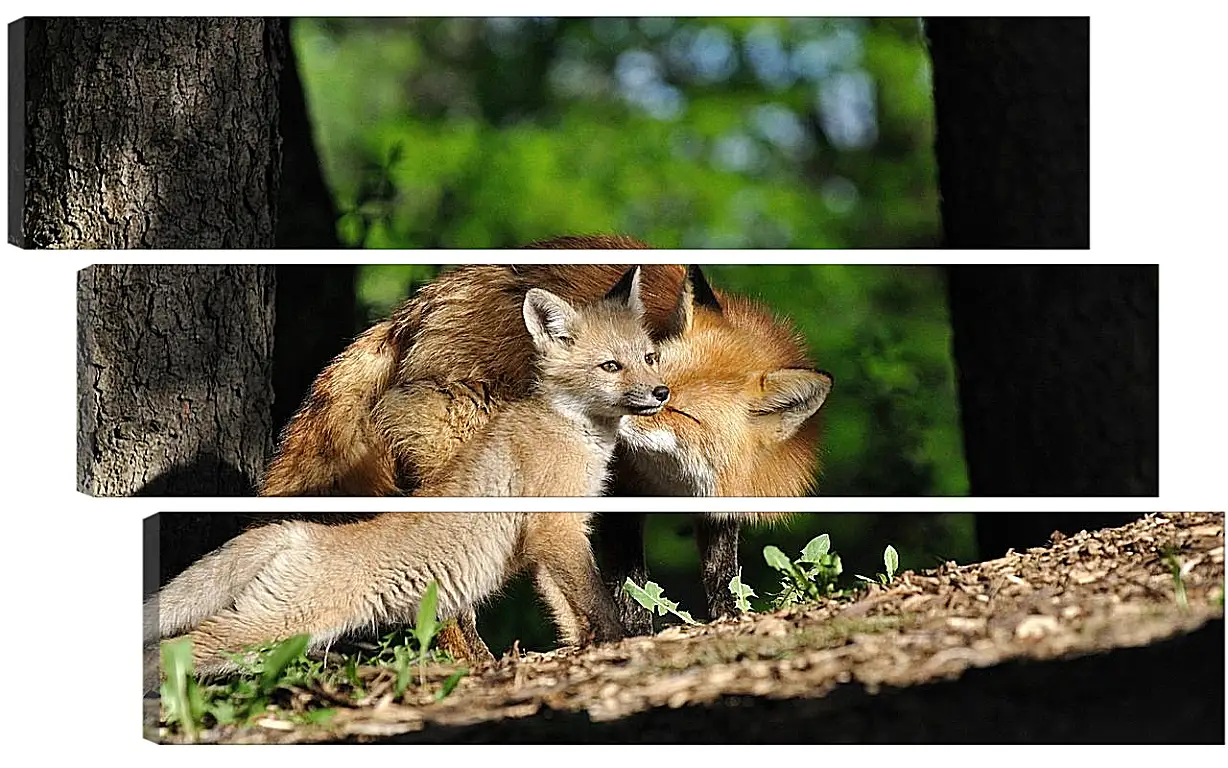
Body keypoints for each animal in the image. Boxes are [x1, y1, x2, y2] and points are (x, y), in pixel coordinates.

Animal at [261, 238, 835, 634]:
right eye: (655, 372)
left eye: (682, 411)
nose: (628, 412)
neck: (673, 483)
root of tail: (425, 300)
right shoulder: (618, 493)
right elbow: (629, 587)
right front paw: (635, 636)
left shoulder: (718, 503)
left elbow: (722, 579)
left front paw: (726, 620)